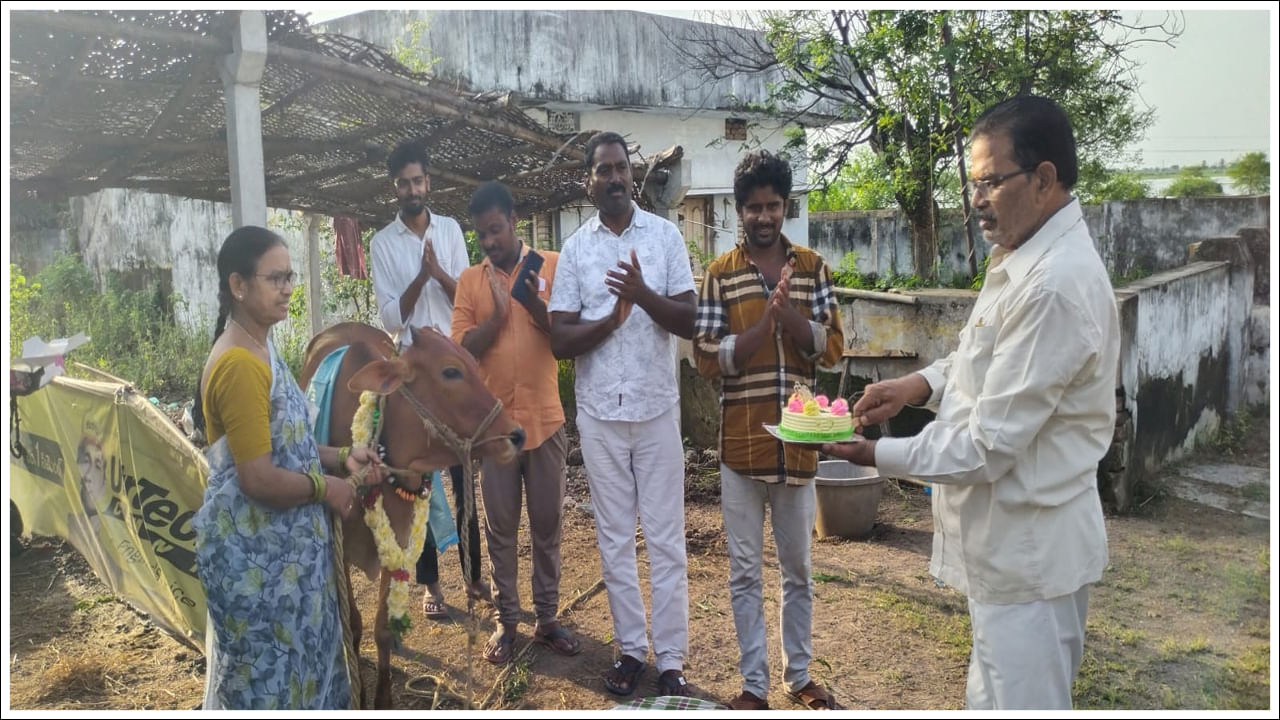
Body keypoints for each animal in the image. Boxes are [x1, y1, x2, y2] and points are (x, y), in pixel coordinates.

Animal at [296, 322, 522, 707]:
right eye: (450, 371)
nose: (516, 435)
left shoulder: (398, 538)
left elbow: (383, 629)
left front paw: (383, 699)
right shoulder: (339, 545)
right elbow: (353, 624)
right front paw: (358, 693)